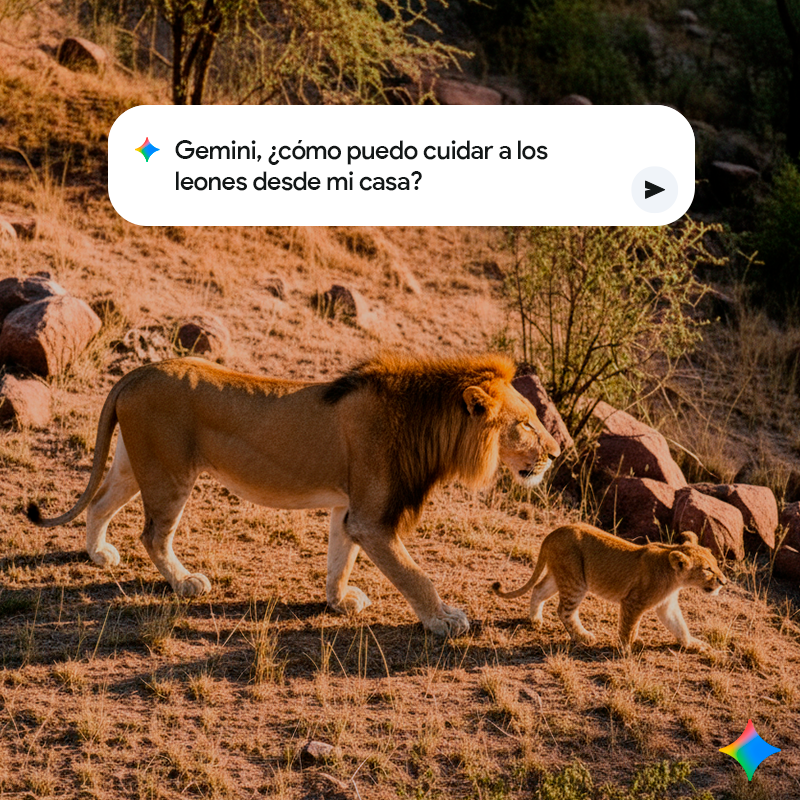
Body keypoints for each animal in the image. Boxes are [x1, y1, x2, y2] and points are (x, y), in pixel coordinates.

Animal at [28, 353, 560, 637]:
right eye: (526, 424)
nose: (557, 454)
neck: (430, 427)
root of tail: (136, 372)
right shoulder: (373, 519)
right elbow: (415, 574)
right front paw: (444, 620)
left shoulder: (350, 509)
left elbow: (340, 557)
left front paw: (338, 602)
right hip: (170, 473)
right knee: (154, 535)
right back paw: (184, 582)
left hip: (135, 465)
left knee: (100, 503)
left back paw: (98, 553)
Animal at [492, 524, 726, 650]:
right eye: (707, 569)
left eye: (715, 564)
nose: (724, 581)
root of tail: (553, 533)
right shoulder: (633, 602)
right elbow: (629, 626)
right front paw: (626, 649)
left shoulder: (666, 605)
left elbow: (679, 625)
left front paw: (693, 644)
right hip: (576, 581)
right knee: (564, 611)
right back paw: (583, 636)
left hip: (561, 575)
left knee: (539, 590)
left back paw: (535, 620)